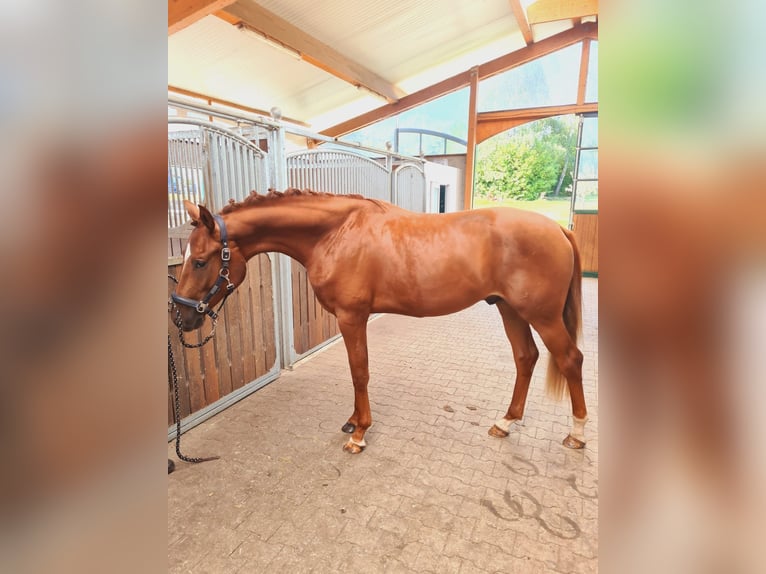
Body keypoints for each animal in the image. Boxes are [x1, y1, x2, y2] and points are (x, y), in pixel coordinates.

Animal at [171, 188, 587, 454]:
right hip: (509, 309)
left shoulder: (352, 318)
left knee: (570, 359)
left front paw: (359, 434)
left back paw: (578, 433)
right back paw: (505, 422)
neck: (335, 234)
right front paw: (353, 421)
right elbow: (356, 372)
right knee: (525, 357)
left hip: (542, 316)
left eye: (201, 261)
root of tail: (558, 229)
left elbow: (360, 371)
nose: (182, 315)